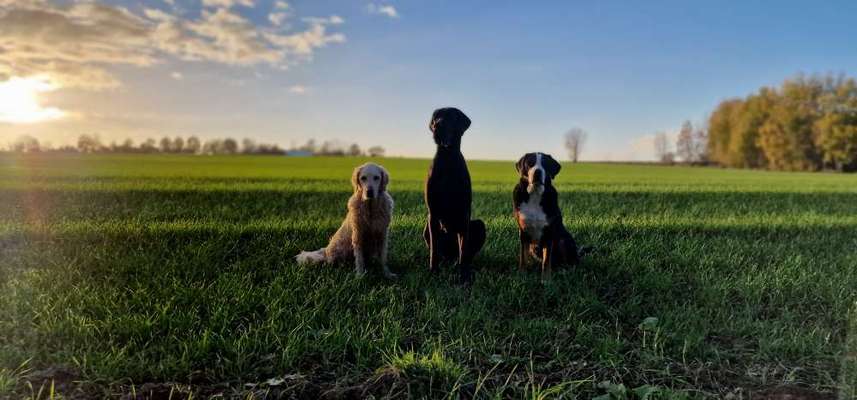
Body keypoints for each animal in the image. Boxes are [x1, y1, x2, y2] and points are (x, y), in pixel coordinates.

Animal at [422, 107, 484, 282]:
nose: (436, 125)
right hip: (426, 228)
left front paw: (463, 275)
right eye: (436, 117)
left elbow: (463, 247)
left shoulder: (464, 213)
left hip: (479, 225)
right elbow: (434, 250)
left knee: (465, 253)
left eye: (450, 116)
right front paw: (433, 271)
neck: (447, 157)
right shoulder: (433, 214)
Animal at [512, 152, 580, 280]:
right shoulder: (523, 232)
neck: (535, 195)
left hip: (563, 240)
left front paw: (546, 279)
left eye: (545, 164)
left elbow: (546, 260)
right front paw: (522, 274)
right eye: (530, 163)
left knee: (571, 262)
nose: (537, 172)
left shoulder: (549, 233)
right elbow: (523, 257)